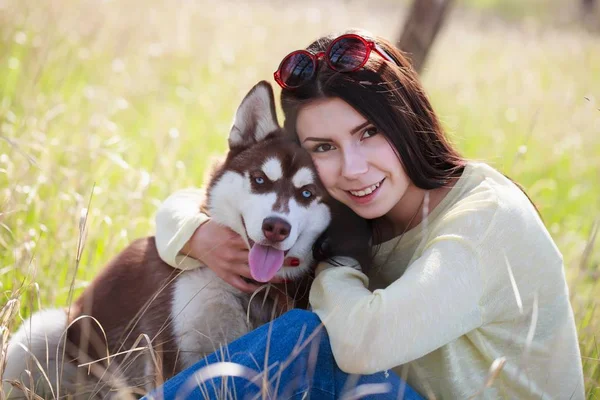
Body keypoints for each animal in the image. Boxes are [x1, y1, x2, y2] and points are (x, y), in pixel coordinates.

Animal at [3, 82, 370, 400]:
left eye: (308, 194)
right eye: (259, 179)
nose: (275, 227)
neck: (247, 290)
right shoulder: (173, 353)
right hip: (43, 334)